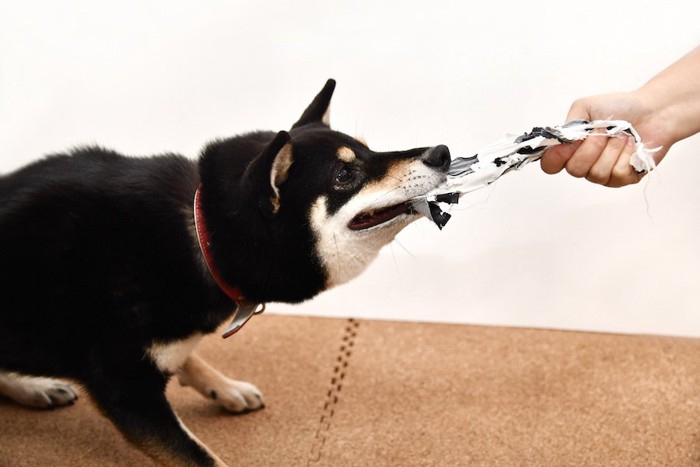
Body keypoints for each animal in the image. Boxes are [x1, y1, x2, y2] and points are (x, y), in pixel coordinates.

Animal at [0, 79, 448, 464]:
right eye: (344, 175)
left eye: (371, 151)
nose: (442, 152)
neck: (204, 236)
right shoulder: (125, 386)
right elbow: (199, 455)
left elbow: (187, 356)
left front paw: (223, 386)